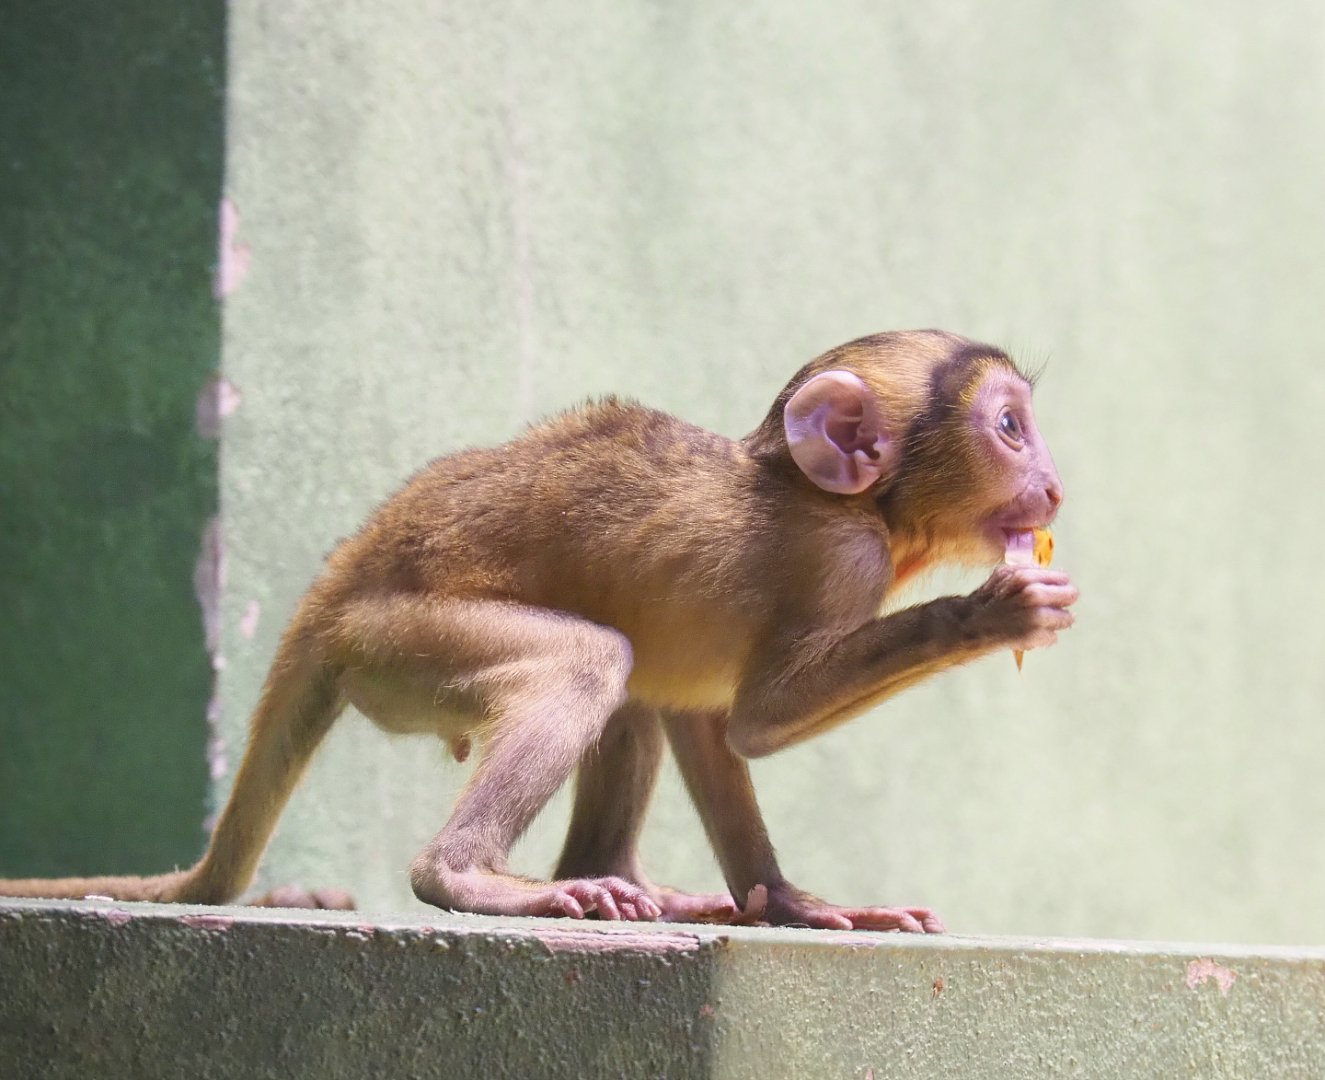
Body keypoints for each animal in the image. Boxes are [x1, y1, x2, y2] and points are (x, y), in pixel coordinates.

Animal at [0, 330, 1074, 932]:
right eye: (1009, 427)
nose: (1054, 485)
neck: (859, 509)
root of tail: (348, 569)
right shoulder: (839, 557)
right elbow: (758, 720)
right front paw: (986, 614)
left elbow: (703, 725)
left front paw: (789, 903)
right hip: (391, 648)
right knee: (592, 659)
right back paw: (468, 879)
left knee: (633, 693)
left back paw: (609, 879)